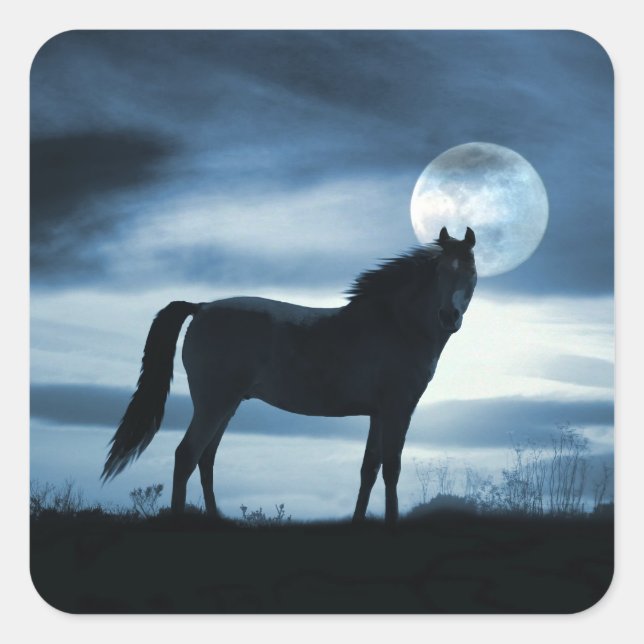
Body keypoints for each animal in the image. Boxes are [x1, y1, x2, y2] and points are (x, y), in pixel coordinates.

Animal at [102, 226, 477, 524]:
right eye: (440, 271)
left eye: (471, 271)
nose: (448, 316)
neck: (396, 324)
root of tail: (201, 308)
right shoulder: (398, 409)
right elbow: (391, 469)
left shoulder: (378, 414)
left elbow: (369, 470)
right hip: (213, 404)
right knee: (187, 456)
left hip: (227, 406)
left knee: (206, 460)